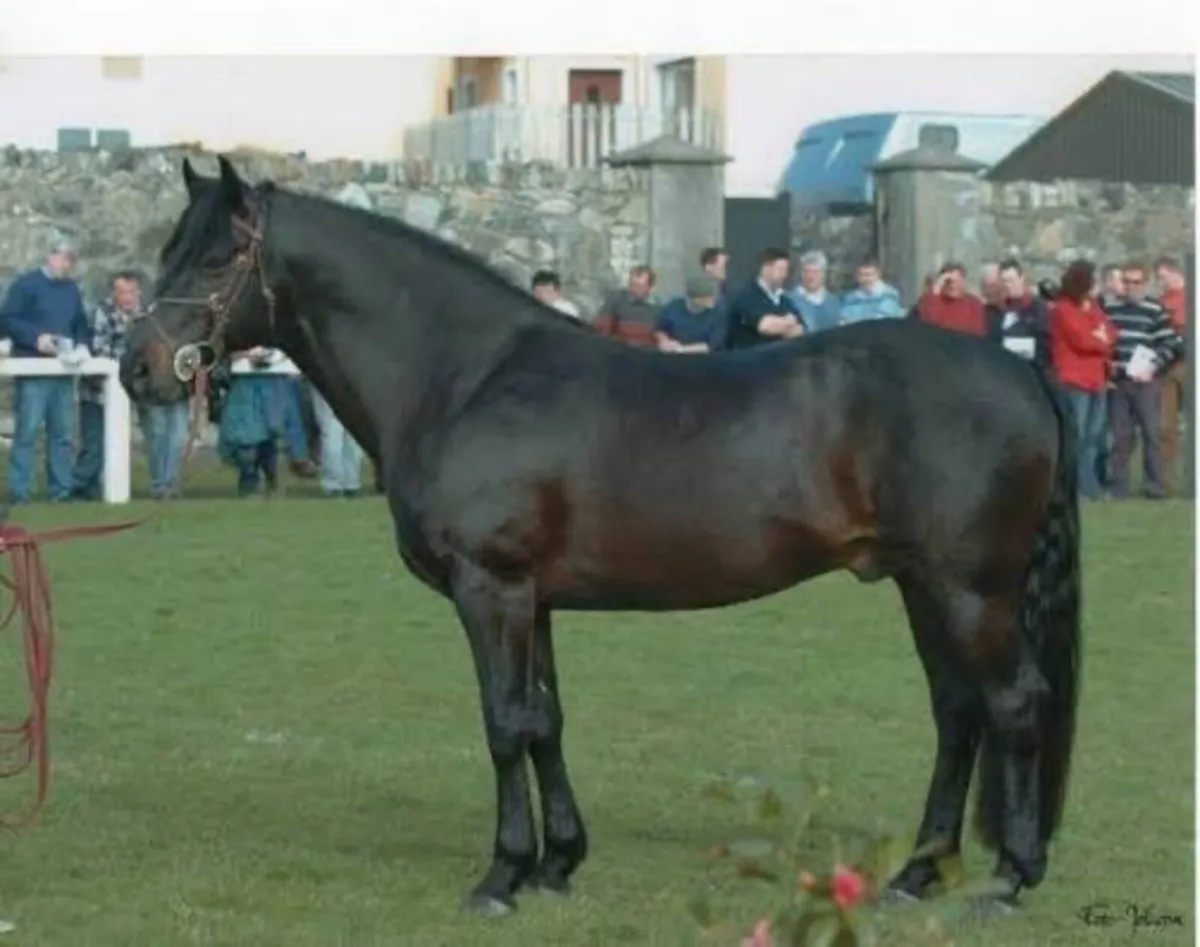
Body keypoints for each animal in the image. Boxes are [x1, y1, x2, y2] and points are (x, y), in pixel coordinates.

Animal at [120, 155, 1082, 920]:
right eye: (167, 249)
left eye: (216, 254)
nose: (138, 367)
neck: (465, 376)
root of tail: (1017, 371)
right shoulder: (534, 598)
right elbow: (545, 718)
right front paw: (558, 861)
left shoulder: (491, 588)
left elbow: (503, 722)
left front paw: (501, 875)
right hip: (923, 585)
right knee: (958, 711)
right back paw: (919, 874)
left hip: (971, 589)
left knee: (1013, 702)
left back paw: (1011, 877)